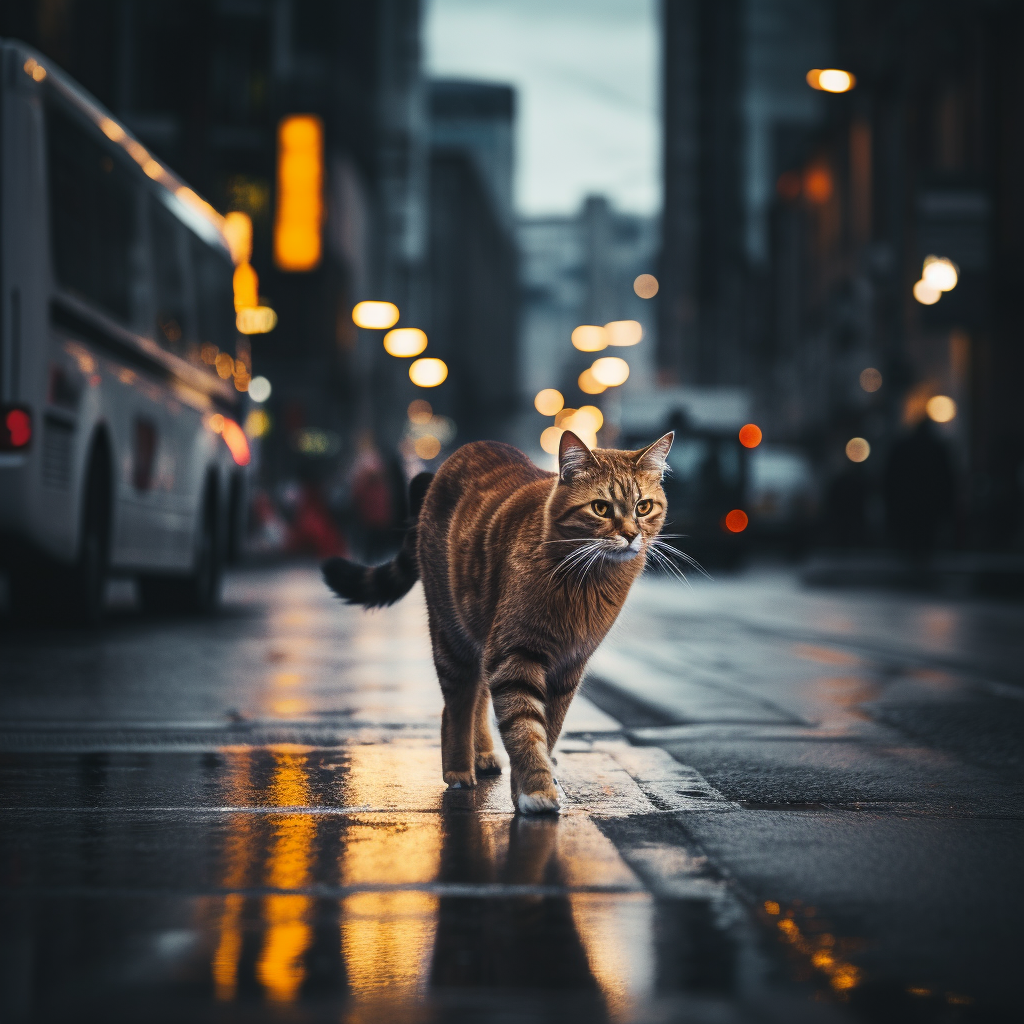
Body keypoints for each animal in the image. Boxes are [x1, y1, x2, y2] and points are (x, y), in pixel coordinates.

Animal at [321, 428, 671, 811]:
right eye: (601, 508)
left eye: (643, 507)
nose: (631, 534)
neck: (585, 580)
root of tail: (464, 452)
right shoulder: (515, 655)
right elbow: (524, 727)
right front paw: (536, 788)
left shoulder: (568, 666)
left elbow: (548, 730)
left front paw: (532, 782)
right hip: (452, 633)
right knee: (457, 703)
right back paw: (459, 769)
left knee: (477, 697)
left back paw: (484, 756)